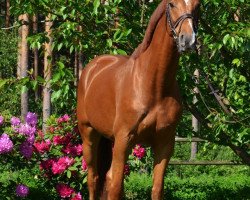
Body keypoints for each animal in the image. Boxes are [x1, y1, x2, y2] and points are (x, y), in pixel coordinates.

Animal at [77, 0, 200, 199]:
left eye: (198, 6)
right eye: (172, 4)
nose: (188, 40)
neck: (154, 87)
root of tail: (92, 69)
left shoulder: (165, 144)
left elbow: (157, 188)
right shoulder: (124, 140)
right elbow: (115, 185)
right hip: (89, 135)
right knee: (94, 179)